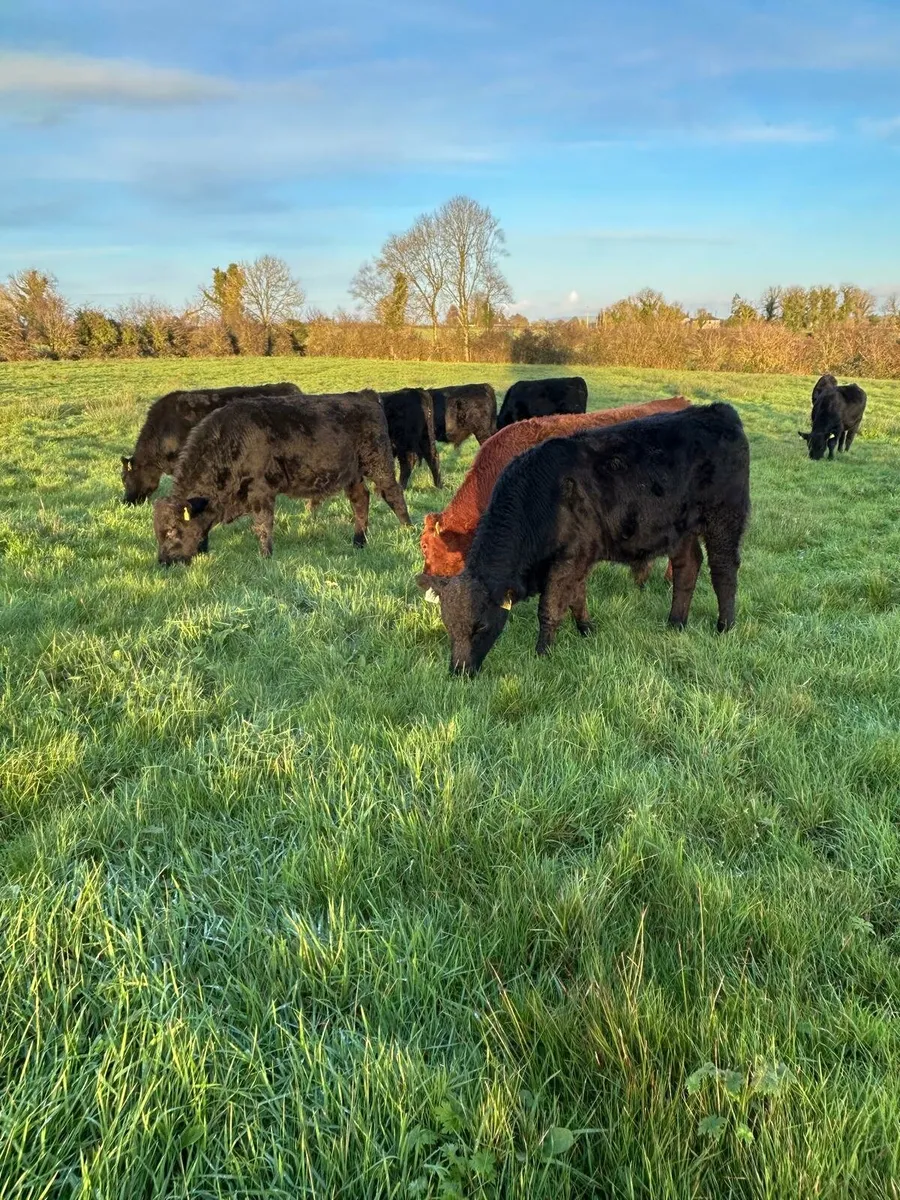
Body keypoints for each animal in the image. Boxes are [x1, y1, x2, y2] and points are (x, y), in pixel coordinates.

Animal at [152, 392, 411, 564]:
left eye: (173, 531)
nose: (164, 562)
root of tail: (364, 395)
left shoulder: (261, 491)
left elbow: (263, 524)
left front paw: (265, 557)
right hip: (352, 474)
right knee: (361, 500)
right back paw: (358, 542)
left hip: (378, 462)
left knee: (394, 493)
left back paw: (407, 530)